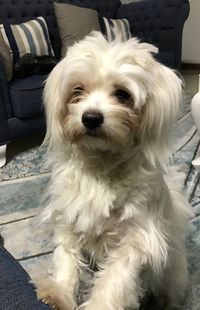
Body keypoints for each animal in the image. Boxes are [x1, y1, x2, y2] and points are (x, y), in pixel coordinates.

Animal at [35, 32, 191, 310]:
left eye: (122, 94)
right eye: (77, 91)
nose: (90, 118)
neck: (102, 165)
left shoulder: (136, 239)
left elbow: (115, 279)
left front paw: (99, 304)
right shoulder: (68, 221)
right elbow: (66, 260)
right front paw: (59, 294)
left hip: (172, 276)